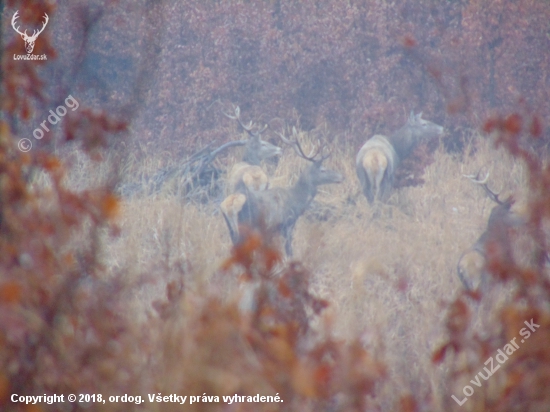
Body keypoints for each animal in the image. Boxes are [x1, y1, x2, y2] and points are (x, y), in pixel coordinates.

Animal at [222, 128, 342, 258]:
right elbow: (288, 251)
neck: (296, 201)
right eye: (323, 170)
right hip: (246, 225)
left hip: (231, 228)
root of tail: (230, 206)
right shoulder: (286, 224)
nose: (341, 176)